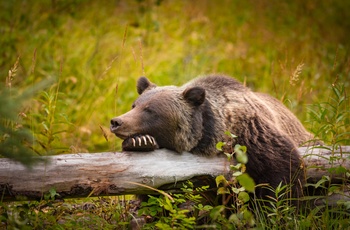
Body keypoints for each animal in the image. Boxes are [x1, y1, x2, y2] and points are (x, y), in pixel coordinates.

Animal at [110, 75, 314, 199]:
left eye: (150, 110)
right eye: (134, 105)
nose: (116, 121)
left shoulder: (252, 134)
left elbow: (284, 171)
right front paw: (140, 142)